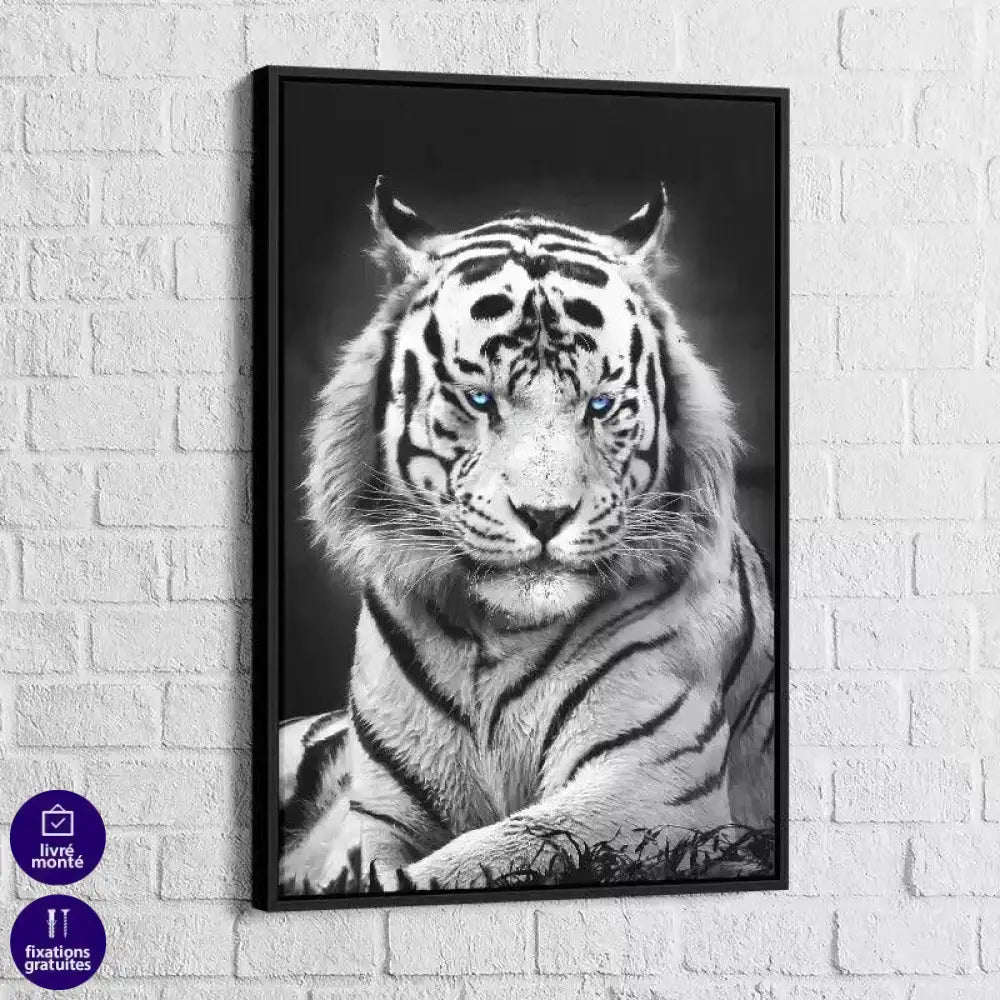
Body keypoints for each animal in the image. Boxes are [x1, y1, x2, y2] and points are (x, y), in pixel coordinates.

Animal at [279, 176, 776, 894]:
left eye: (600, 405)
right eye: (480, 400)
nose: (545, 516)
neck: (494, 639)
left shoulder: (650, 784)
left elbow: (491, 854)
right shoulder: (380, 813)